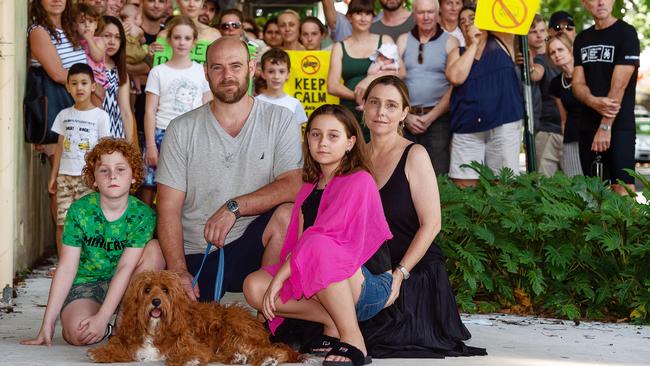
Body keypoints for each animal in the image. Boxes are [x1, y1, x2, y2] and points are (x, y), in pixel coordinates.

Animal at [85, 270, 304, 364]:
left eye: (165, 290)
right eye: (147, 289)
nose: (156, 302)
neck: (156, 327)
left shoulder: (193, 344)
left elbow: (184, 354)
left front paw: (189, 360)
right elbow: (121, 347)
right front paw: (102, 352)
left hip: (235, 332)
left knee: (277, 350)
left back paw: (268, 359)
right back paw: (237, 358)